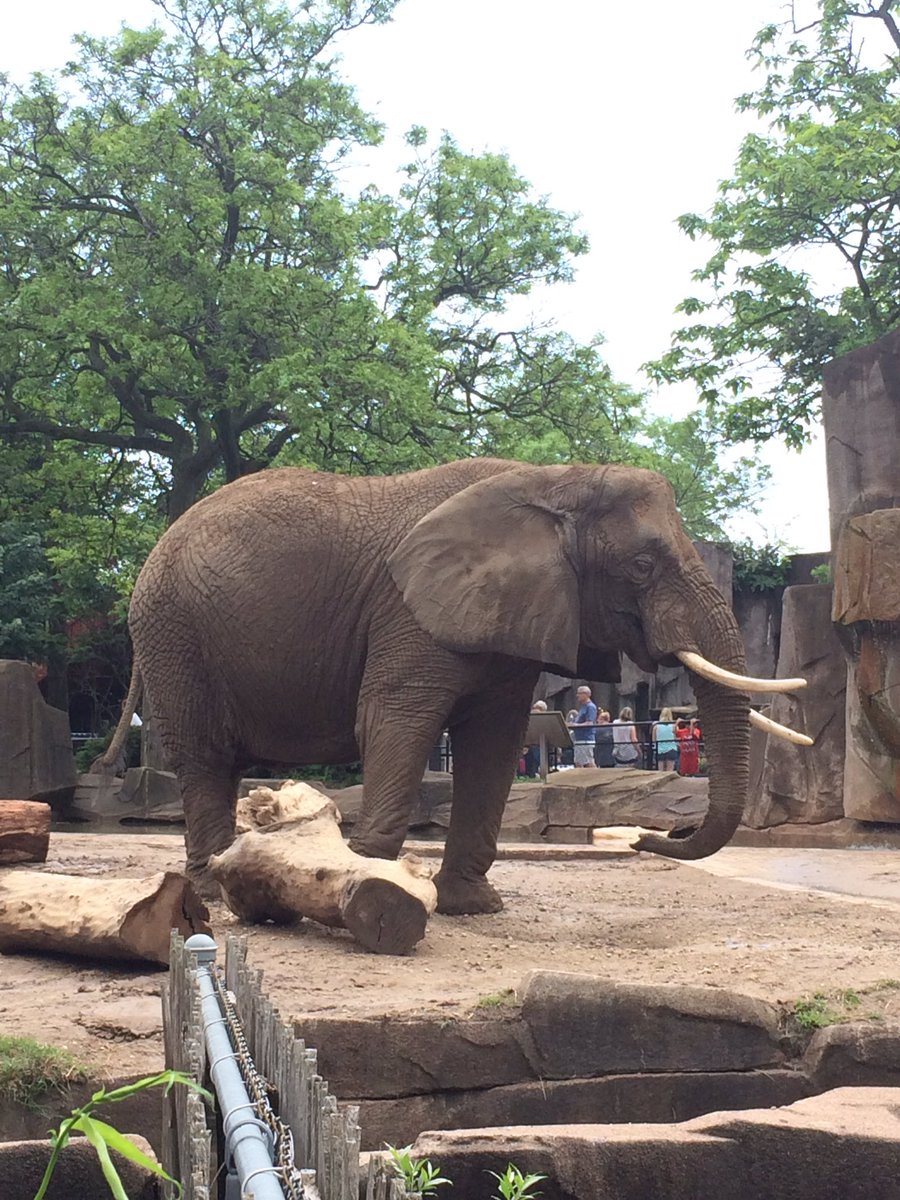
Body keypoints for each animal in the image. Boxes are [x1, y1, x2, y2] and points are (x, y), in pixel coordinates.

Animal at [101, 458, 807, 914]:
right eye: (641, 566)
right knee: (203, 758)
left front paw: (472, 906)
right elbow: (395, 721)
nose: (646, 837)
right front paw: (375, 886)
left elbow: (494, 743)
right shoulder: (409, 612)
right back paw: (213, 894)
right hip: (173, 633)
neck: (556, 479)